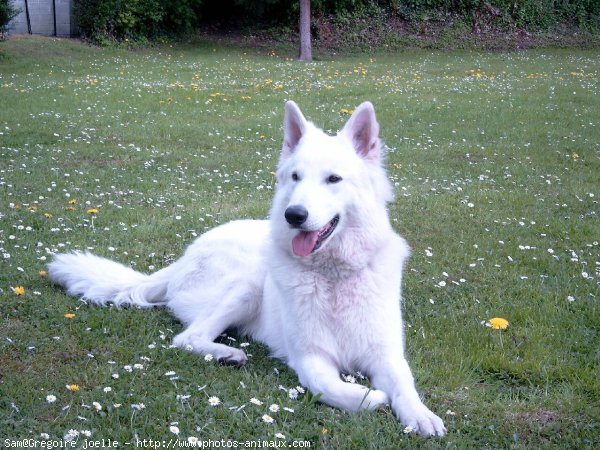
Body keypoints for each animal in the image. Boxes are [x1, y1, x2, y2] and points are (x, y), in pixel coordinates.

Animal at [49, 102, 446, 436]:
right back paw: (228, 354)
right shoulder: (310, 358)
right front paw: (371, 398)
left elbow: (405, 385)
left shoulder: (387, 353)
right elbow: (333, 387)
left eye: (333, 179)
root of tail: (182, 258)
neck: (332, 276)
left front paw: (420, 415)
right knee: (187, 337)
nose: (293, 215)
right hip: (247, 285)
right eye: (295, 177)